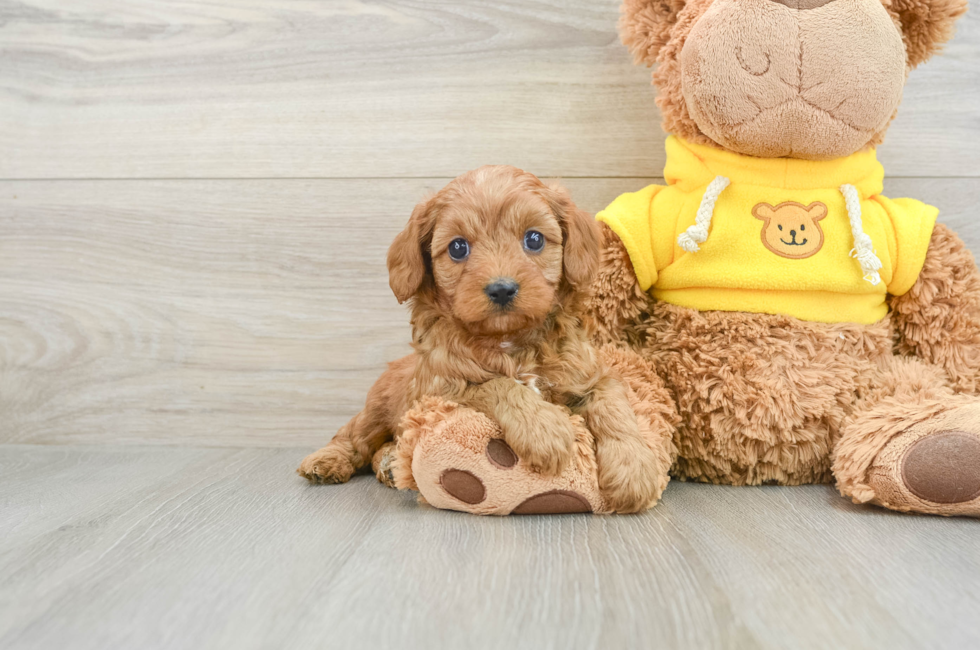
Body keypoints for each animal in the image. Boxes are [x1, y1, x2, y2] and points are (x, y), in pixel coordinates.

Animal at [298, 166, 668, 512]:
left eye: (534, 239)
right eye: (458, 247)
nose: (502, 288)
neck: (508, 340)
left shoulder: (592, 376)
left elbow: (613, 407)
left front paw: (634, 470)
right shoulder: (443, 388)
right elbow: (497, 385)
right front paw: (545, 429)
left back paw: (389, 464)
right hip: (376, 408)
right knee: (353, 436)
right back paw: (326, 461)